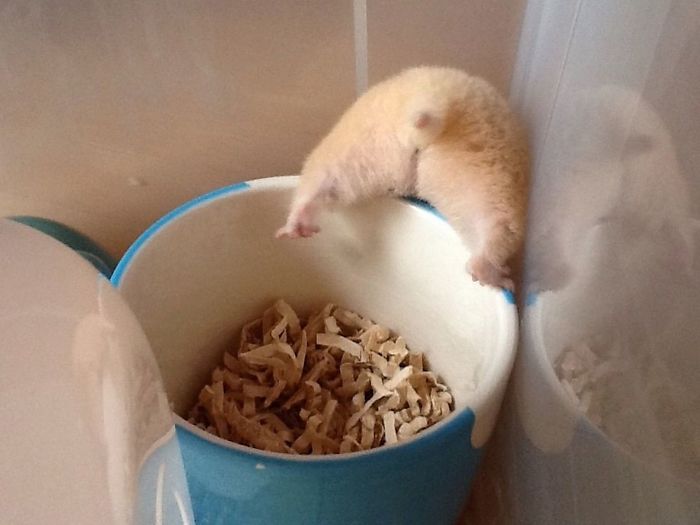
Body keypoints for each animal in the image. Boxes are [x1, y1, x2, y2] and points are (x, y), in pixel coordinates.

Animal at [276, 65, 528, 290]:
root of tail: (427, 102)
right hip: (495, 188)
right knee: (488, 246)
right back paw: (504, 280)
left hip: (350, 154)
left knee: (314, 189)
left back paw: (294, 231)